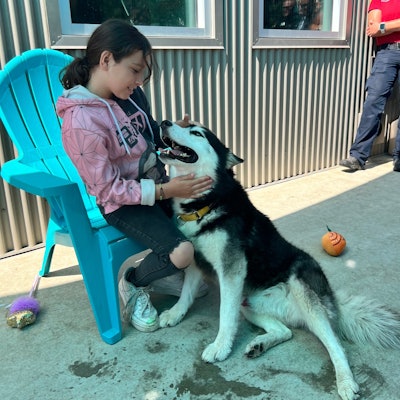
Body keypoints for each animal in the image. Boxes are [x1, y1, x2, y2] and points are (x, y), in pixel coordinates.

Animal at [157, 120, 400, 400]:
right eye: (182, 123)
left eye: (196, 132)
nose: (164, 122)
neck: (207, 201)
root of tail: (331, 298)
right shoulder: (197, 261)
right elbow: (186, 293)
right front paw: (175, 314)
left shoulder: (232, 271)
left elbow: (225, 316)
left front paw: (220, 347)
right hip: (248, 302)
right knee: (285, 331)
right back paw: (260, 344)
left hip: (302, 288)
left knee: (336, 345)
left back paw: (346, 382)